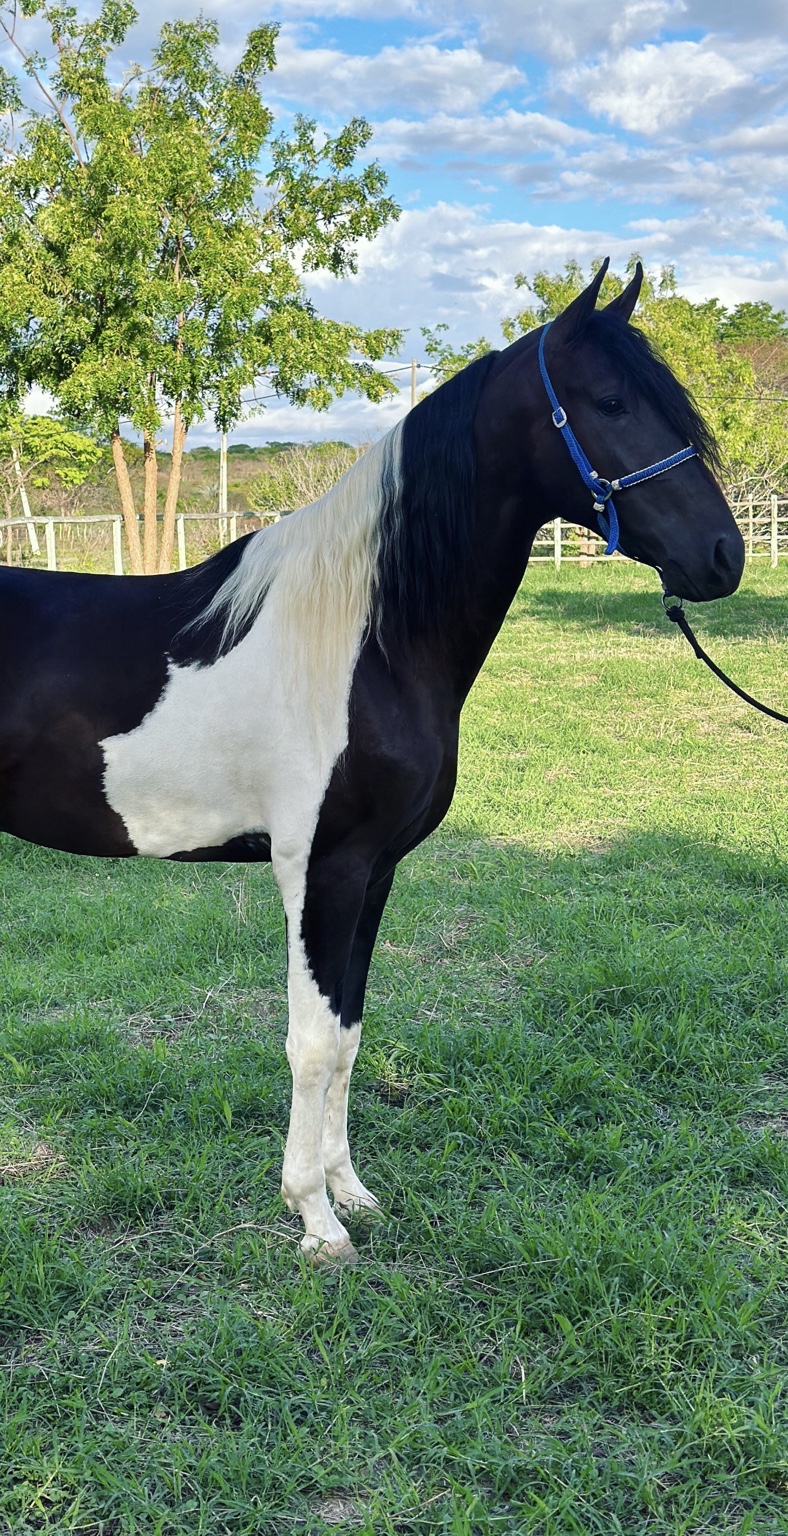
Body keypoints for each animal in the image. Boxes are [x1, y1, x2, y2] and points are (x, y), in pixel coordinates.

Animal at [0, 260, 744, 1263]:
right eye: (612, 401)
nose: (724, 556)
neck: (368, 640)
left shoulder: (379, 871)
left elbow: (349, 1035)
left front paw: (352, 1194)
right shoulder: (325, 868)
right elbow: (311, 1042)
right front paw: (315, 1223)